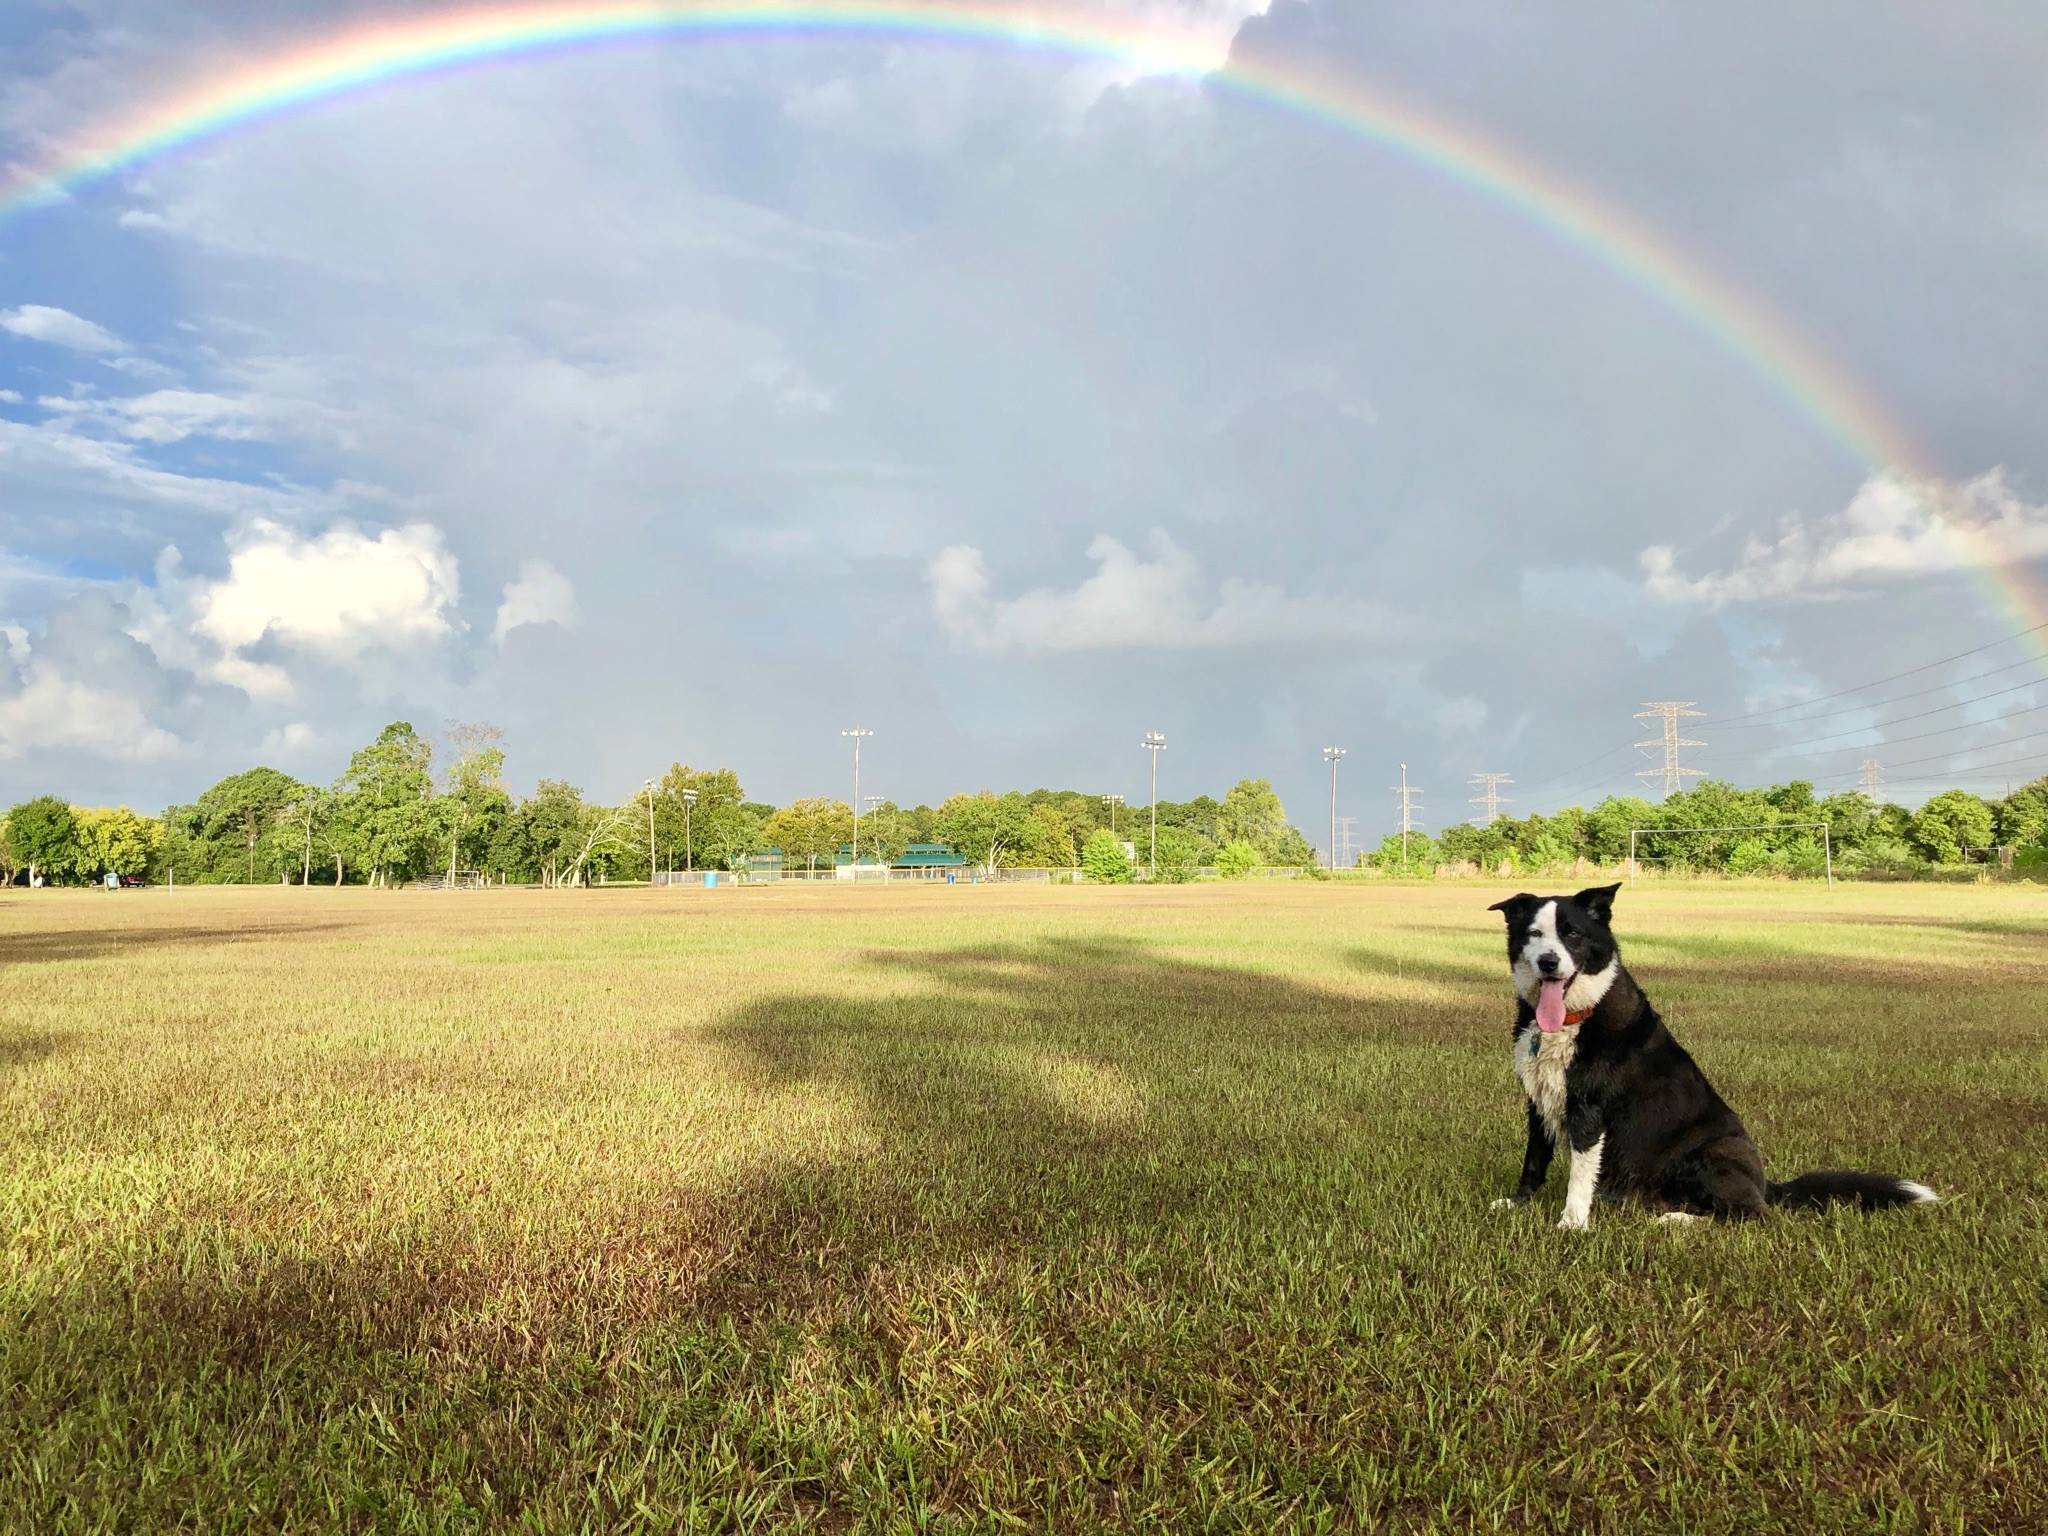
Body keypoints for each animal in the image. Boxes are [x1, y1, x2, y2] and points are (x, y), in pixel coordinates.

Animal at [1490, 888, 1933, 1228]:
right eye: (1534, 933)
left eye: (1573, 934)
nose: (1548, 962)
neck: (1576, 1017)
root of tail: (1765, 1184)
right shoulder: (1539, 1103)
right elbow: (1534, 1161)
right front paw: (1518, 1204)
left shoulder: (1589, 1112)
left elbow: (1580, 1179)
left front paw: (1572, 1223)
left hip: (1708, 1155)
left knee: (1752, 1215)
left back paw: (1678, 1220)